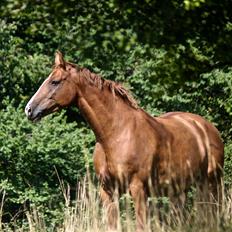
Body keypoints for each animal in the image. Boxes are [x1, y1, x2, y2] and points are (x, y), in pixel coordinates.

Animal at [24, 51, 224, 231]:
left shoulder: (138, 189)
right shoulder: (107, 191)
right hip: (180, 190)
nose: (29, 109)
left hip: (210, 184)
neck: (116, 133)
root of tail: (207, 127)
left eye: (55, 82)